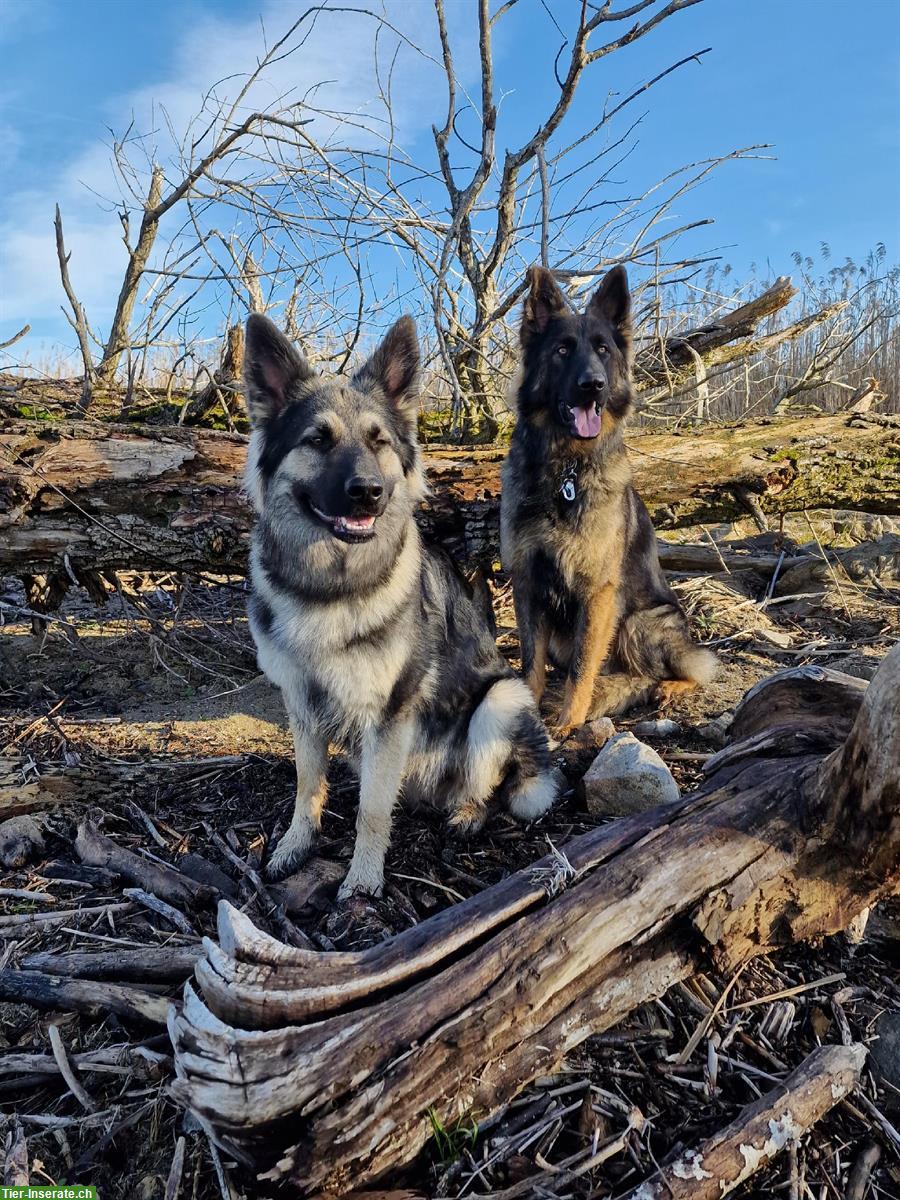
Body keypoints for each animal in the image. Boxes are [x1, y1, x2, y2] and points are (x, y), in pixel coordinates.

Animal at [243, 314, 554, 897]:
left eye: (379, 440)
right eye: (317, 440)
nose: (367, 492)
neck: (332, 589)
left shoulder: (388, 715)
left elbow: (371, 810)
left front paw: (362, 881)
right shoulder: (302, 705)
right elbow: (306, 784)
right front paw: (297, 844)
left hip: (500, 700)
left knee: (490, 788)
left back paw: (466, 815)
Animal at [501, 265, 720, 729]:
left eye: (602, 350)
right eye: (562, 350)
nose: (594, 386)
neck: (566, 471)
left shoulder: (597, 592)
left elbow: (583, 665)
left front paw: (568, 721)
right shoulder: (527, 584)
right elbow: (531, 663)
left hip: (640, 623)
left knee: (687, 668)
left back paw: (667, 688)